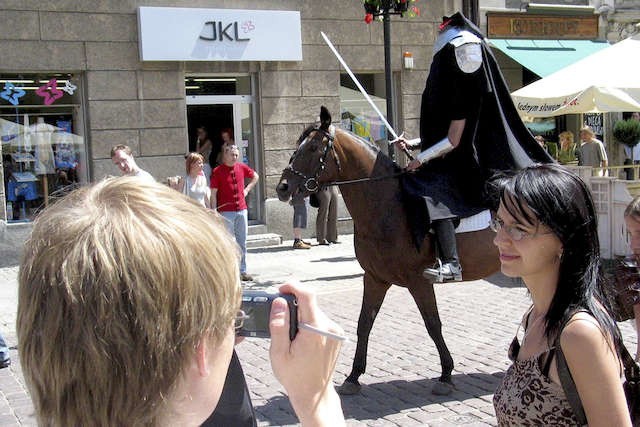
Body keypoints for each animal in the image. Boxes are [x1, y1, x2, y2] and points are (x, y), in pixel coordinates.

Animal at [276, 108, 500, 398]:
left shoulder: (419, 281)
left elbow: (432, 324)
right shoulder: (374, 278)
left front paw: (446, 374)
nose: (282, 187)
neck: (388, 205)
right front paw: (353, 376)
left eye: (313, 147)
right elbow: (364, 323)